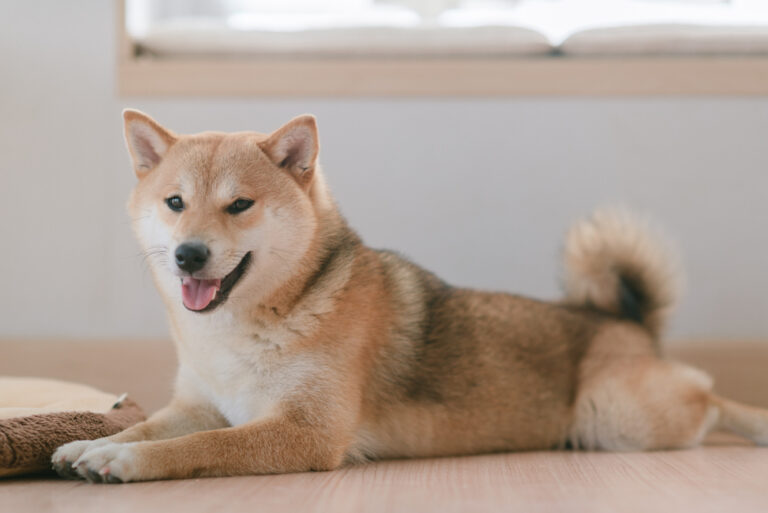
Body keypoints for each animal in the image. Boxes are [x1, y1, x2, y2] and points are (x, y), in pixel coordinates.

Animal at [51, 110, 768, 482]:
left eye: (239, 205)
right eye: (174, 203)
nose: (189, 254)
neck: (246, 327)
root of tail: (620, 319)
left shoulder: (304, 433)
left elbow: (193, 450)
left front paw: (123, 458)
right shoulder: (199, 405)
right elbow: (150, 424)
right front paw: (93, 444)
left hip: (616, 412)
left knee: (707, 397)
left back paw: (749, 419)